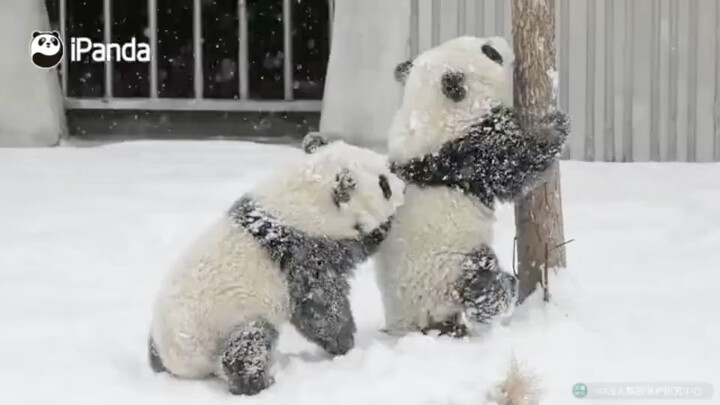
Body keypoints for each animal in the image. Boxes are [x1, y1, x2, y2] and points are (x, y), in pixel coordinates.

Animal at [148, 134, 404, 392]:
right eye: (384, 185)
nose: (402, 186)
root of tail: (178, 365)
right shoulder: (303, 253)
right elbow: (319, 305)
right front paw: (344, 342)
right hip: (228, 324)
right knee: (248, 347)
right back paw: (259, 382)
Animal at [374, 36, 572, 334]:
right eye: (490, 53)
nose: (501, 41)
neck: (428, 111)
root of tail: (411, 325)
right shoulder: (467, 152)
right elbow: (513, 166)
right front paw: (553, 128)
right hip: (450, 269)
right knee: (482, 287)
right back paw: (505, 286)